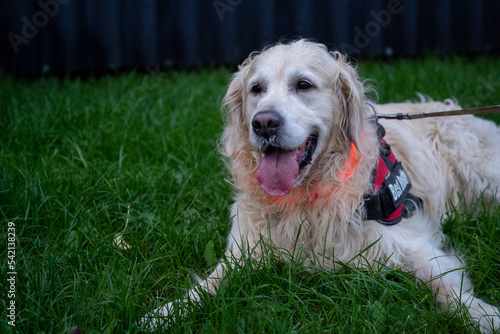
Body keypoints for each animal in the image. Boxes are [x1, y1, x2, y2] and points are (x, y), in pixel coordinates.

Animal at [142, 38, 500, 332]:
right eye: (256, 89)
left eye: (304, 85)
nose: (264, 123)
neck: (305, 198)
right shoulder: (245, 250)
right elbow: (204, 288)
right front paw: (162, 314)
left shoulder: (410, 243)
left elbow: (448, 289)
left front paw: (483, 316)